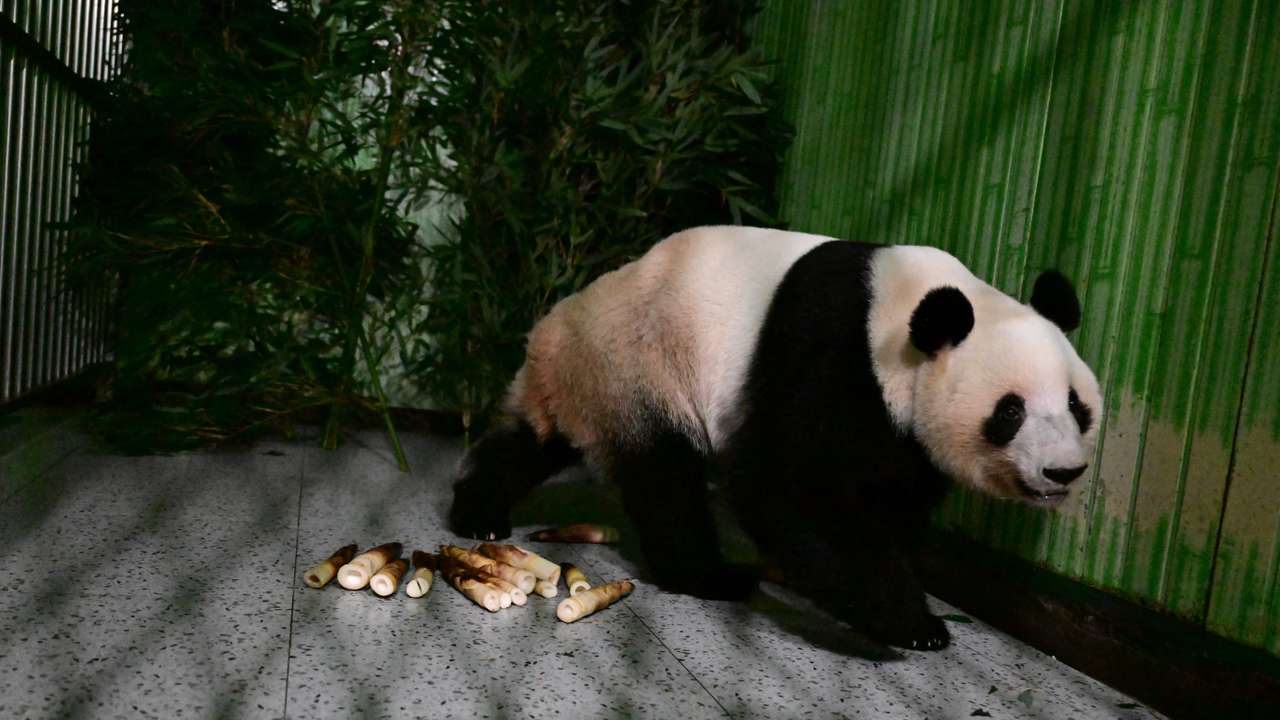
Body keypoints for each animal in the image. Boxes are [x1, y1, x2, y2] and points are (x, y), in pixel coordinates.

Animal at [450, 225, 1102, 650]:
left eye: (1077, 406)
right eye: (1010, 411)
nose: (1063, 472)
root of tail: (554, 329)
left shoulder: (903, 433)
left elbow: (894, 495)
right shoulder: (830, 350)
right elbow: (786, 484)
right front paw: (906, 620)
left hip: (589, 384)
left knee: (529, 444)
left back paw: (478, 512)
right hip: (639, 367)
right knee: (666, 480)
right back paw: (711, 575)